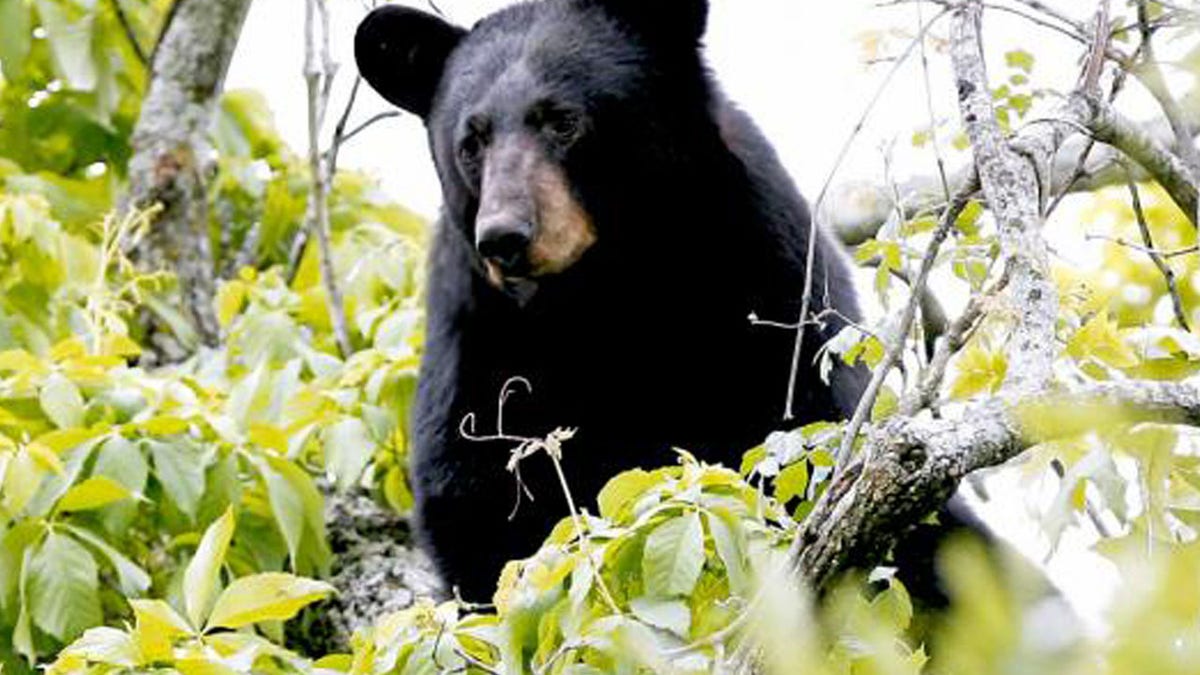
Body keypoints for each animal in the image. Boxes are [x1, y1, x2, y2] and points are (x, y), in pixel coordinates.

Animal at [355, 0, 873, 598]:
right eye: (471, 142)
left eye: (563, 120)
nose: (504, 236)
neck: (606, 295)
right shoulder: (477, 337)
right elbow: (476, 503)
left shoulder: (767, 276)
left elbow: (806, 425)